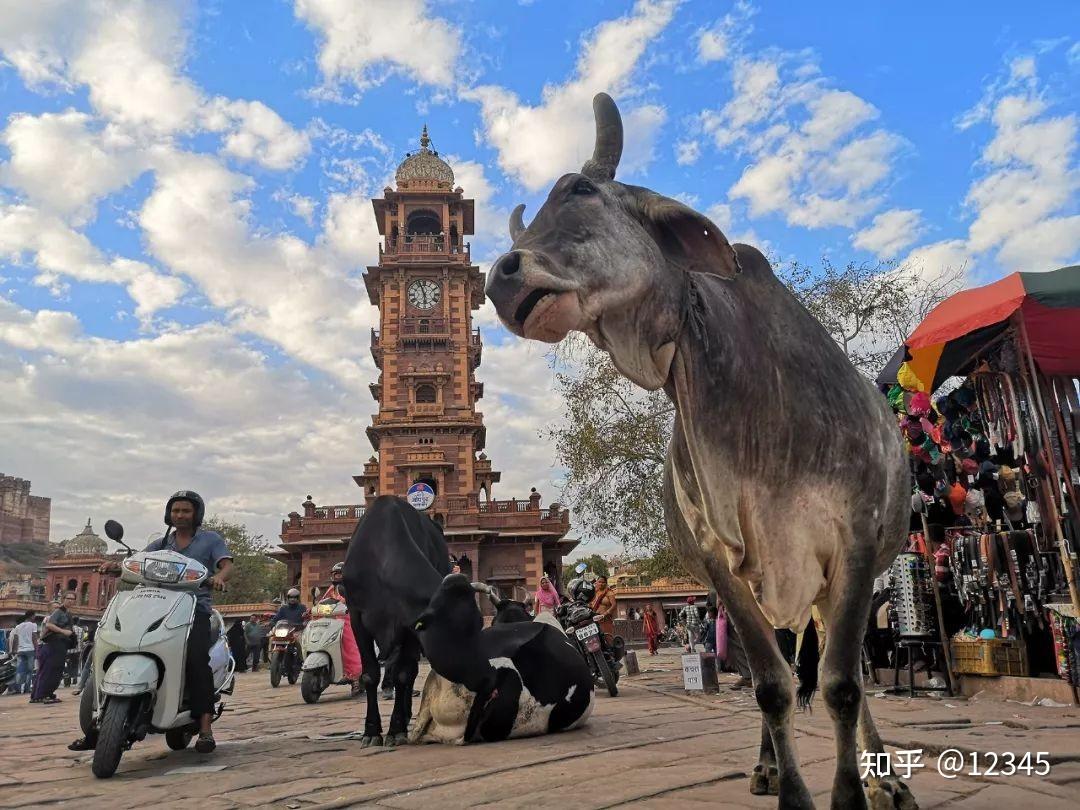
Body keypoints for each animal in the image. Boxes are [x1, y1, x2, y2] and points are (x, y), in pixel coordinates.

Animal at [343, 494, 449, 747]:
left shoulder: (409, 625)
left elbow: (403, 675)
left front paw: (396, 729)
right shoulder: (356, 617)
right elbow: (370, 674)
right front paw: (371, 731)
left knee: (409, 672)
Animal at [486, 93, 915, 810]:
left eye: (580, 190)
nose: (501, 277)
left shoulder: (854, 543)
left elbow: (841, 684)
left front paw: (858, 792)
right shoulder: (722, 565)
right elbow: (770, 685)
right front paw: (793, 793)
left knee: (842, 669)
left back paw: (885, 776)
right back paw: (767, 767)